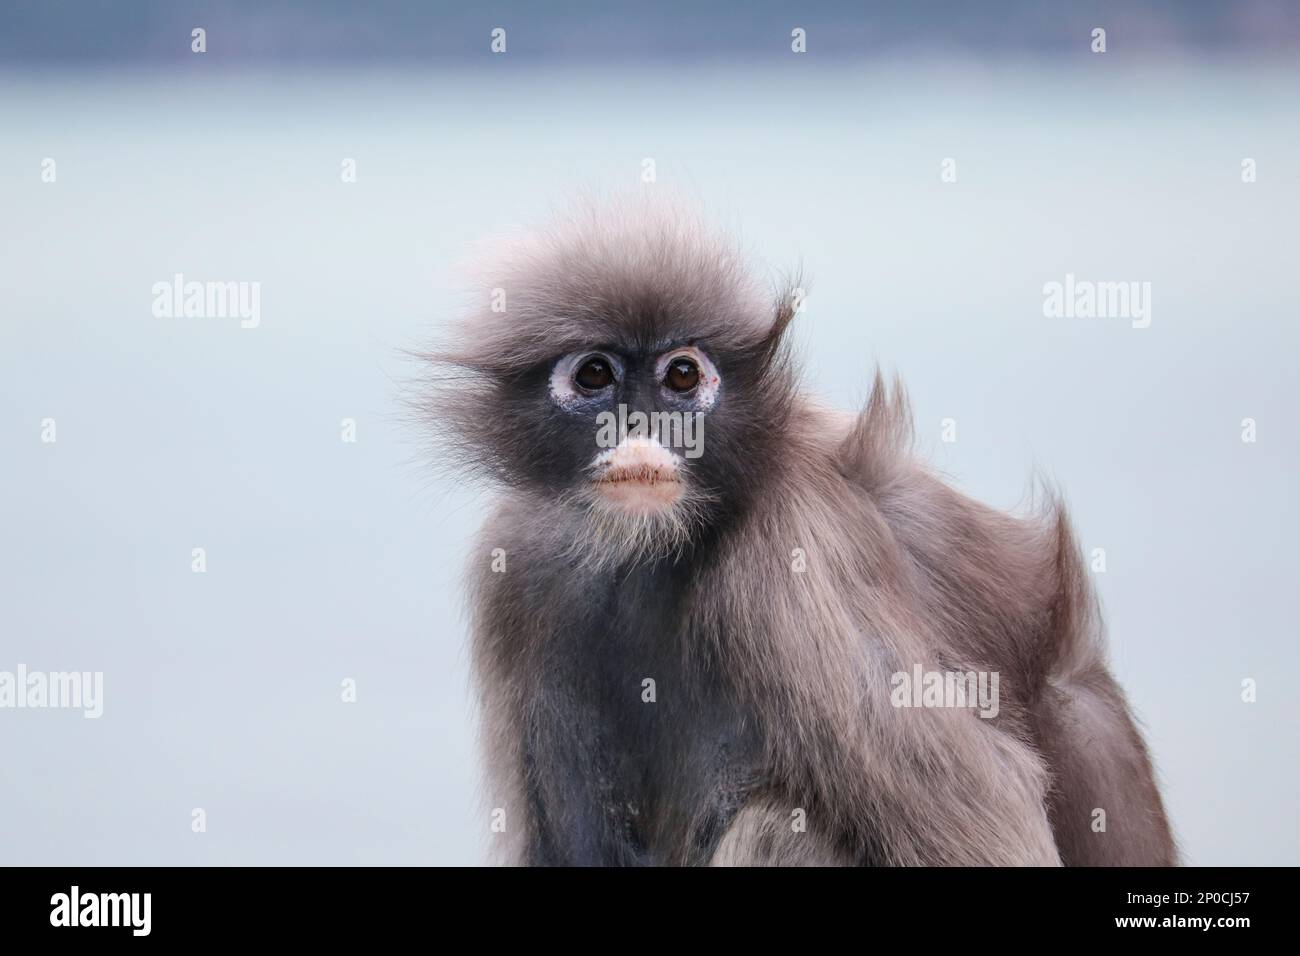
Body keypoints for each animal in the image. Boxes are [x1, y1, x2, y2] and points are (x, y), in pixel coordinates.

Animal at [423, 196, 1177, 866]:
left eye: (682, 375)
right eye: (595, 375)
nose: (637, 428)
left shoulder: (795, 543)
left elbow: (992, 829)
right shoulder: (519, 560)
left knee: (777, 826)